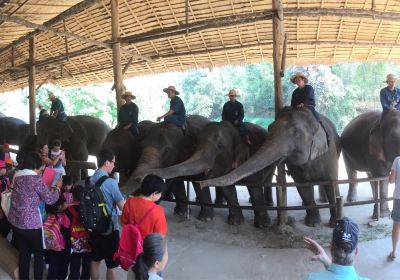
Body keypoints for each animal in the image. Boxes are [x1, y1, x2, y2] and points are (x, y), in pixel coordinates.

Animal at [146, 121, 276, 228]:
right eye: (196, 144)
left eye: (220, 146)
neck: (236, 131)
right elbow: (227, 188)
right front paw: (234, 222)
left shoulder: (252, 157)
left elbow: (255, 186)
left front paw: (263, 225)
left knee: (267, 180)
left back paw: (268, 204)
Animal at [198, 107, 340, 228]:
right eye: (270, 127)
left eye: (296, 132)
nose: (200, 182)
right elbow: (303, 188)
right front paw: (313, 223)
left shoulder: (329, 154)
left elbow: (331, 184)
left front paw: (333, 224)